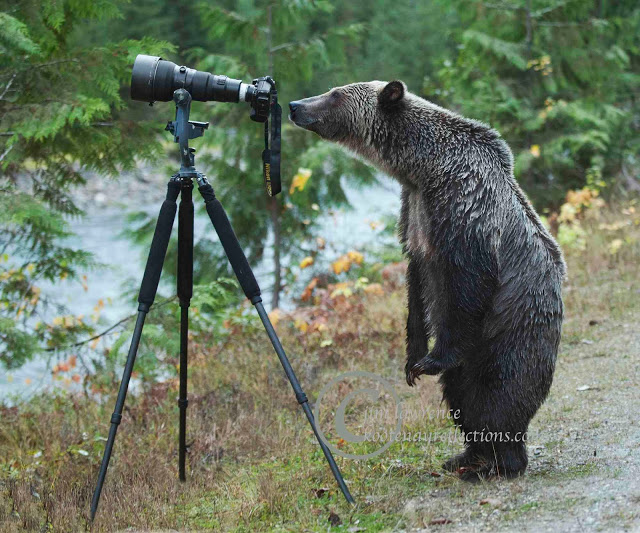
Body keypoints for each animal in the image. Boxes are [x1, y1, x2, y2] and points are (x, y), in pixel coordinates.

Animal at [290, 79, 564, 478]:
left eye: (336, 93)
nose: (295, 105)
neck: (422, 169)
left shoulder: (464, 209)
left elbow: (468, 284)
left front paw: (430, 360)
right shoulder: (414, 216)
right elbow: (416, 287)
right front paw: (412, 361)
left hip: (512, 329)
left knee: (499, 394)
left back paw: (500, 461)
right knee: (461, 395)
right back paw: (466, 456)